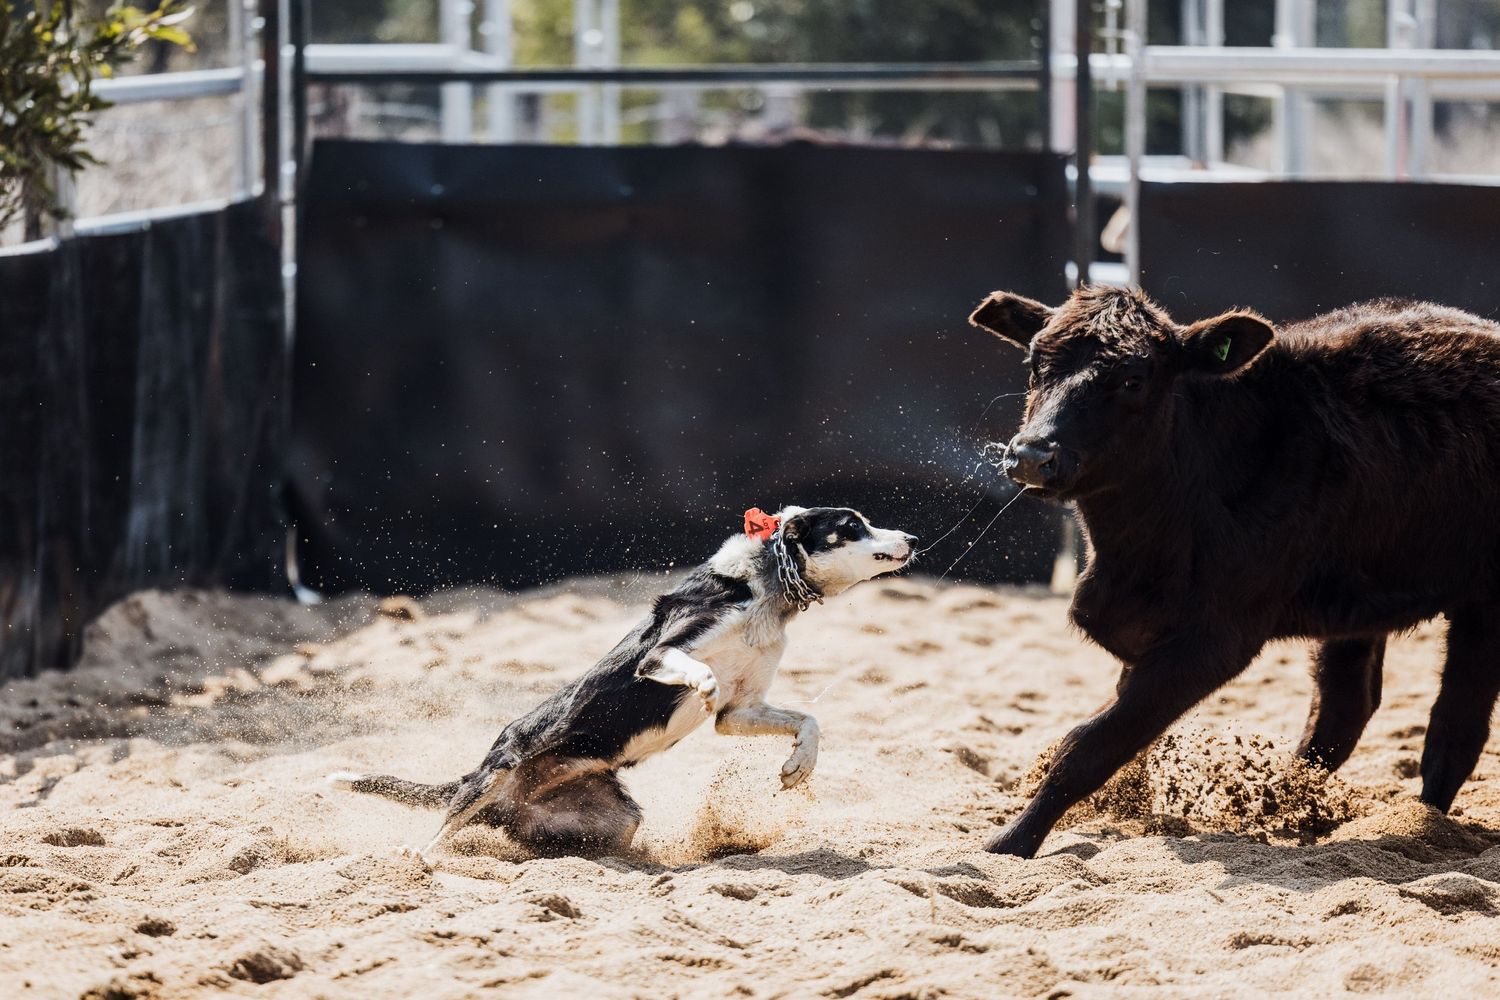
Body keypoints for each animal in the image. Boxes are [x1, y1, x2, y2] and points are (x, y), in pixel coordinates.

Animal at [969, 284, 1500, 858]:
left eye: (1133, 379)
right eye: (1034, 364)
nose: (1031, 455)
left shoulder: (1215, 638)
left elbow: (1091, 744)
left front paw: (1010, 842)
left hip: (1484, 604)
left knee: (1454, 726)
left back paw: (1423, 826)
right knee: (1342, 710)